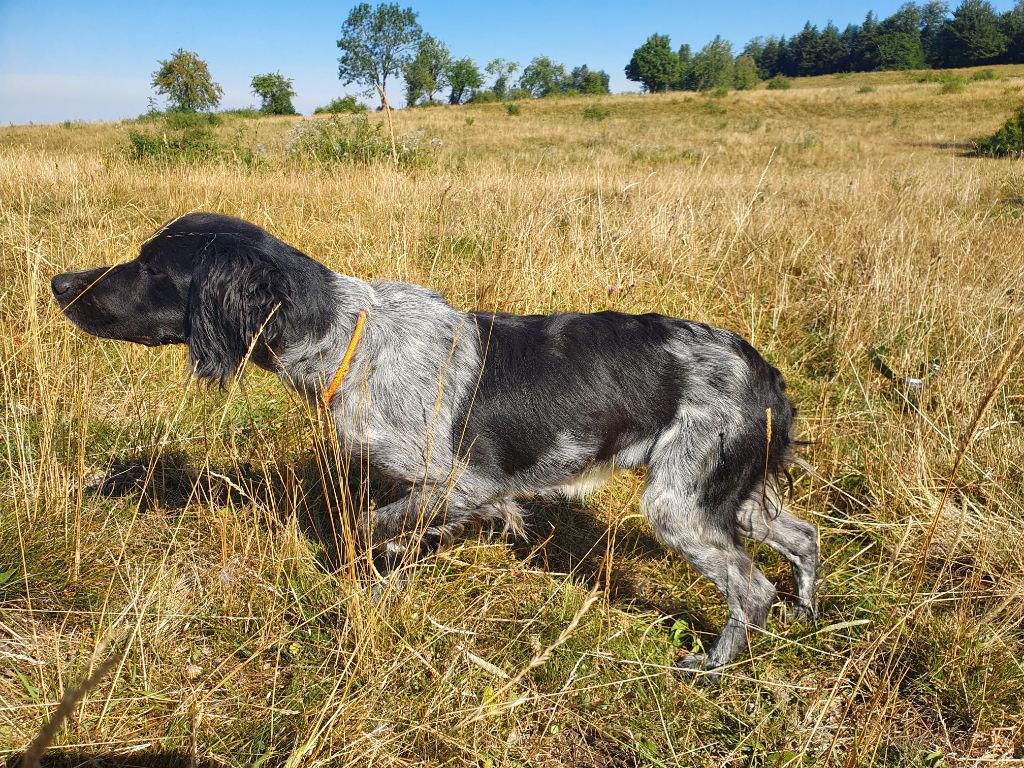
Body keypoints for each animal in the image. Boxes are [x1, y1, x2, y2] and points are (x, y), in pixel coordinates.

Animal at [51, 214, 819, 675]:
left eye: (152, 266)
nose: (58, 282)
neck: (344, 334)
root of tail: (764, 372)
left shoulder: (461, 483)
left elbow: (366, 529)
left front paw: (372, 581)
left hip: (679, 503)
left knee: (750, 588)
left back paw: (713, 666)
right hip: (731, 496)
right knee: (804, 539)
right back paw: (808, 614)